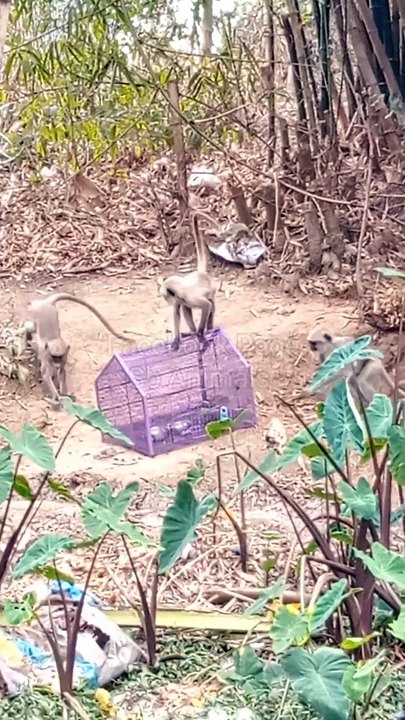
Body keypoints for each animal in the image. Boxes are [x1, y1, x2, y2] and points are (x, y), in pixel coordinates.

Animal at [160, 210, 216, 351]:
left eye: (165, 297)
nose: (167, 301)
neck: (181, 288)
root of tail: (200, 273)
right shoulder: (179, 298)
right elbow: (176, 312)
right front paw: (176, 339)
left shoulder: (188, 297)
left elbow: (206, 305)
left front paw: (200, 334)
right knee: (186, 309)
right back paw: (192, 332)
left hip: (212, 289)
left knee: (211, 303)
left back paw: (204, 329)